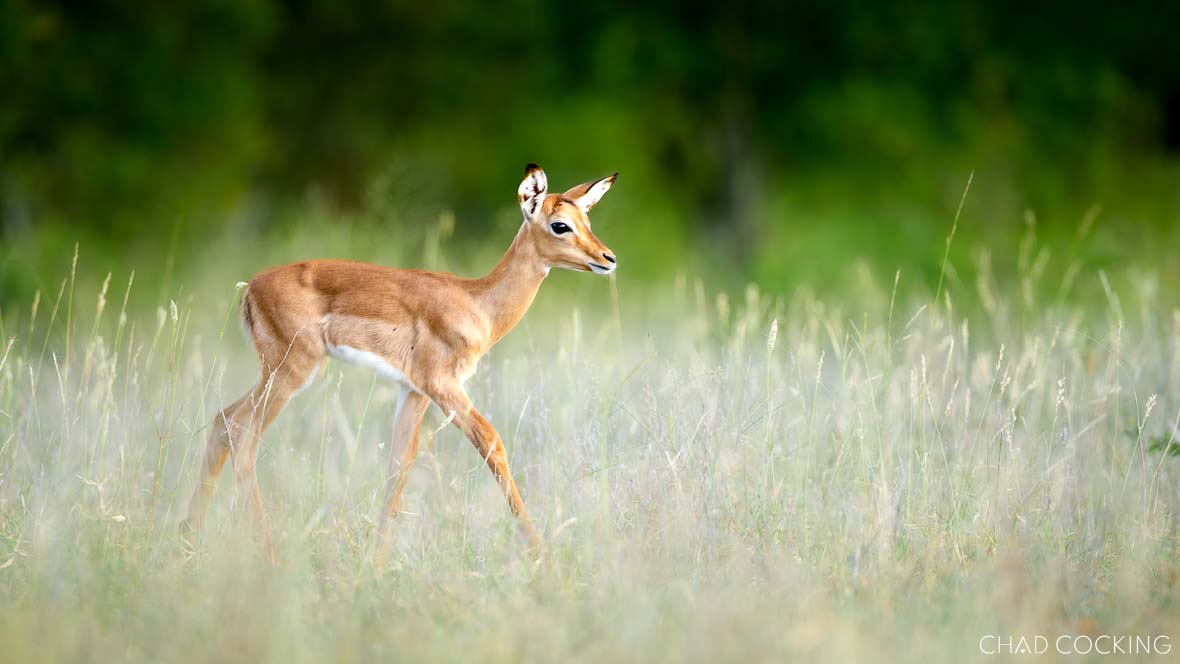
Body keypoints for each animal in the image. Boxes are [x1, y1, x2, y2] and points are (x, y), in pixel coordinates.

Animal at [181, 164, 618, 561]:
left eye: (587, 219)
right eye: (560, 225)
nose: (608, 258)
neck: (477, 304)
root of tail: (250, 287)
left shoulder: (413, 391)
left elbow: (399, 466)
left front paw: (376, 564)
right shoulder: (444, 386)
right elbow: (492, 442)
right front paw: (542, 557)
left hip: (274, 373)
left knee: (222, 422)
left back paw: (189, 541)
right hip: (291, 372)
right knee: (242, 434)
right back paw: (266, 553)